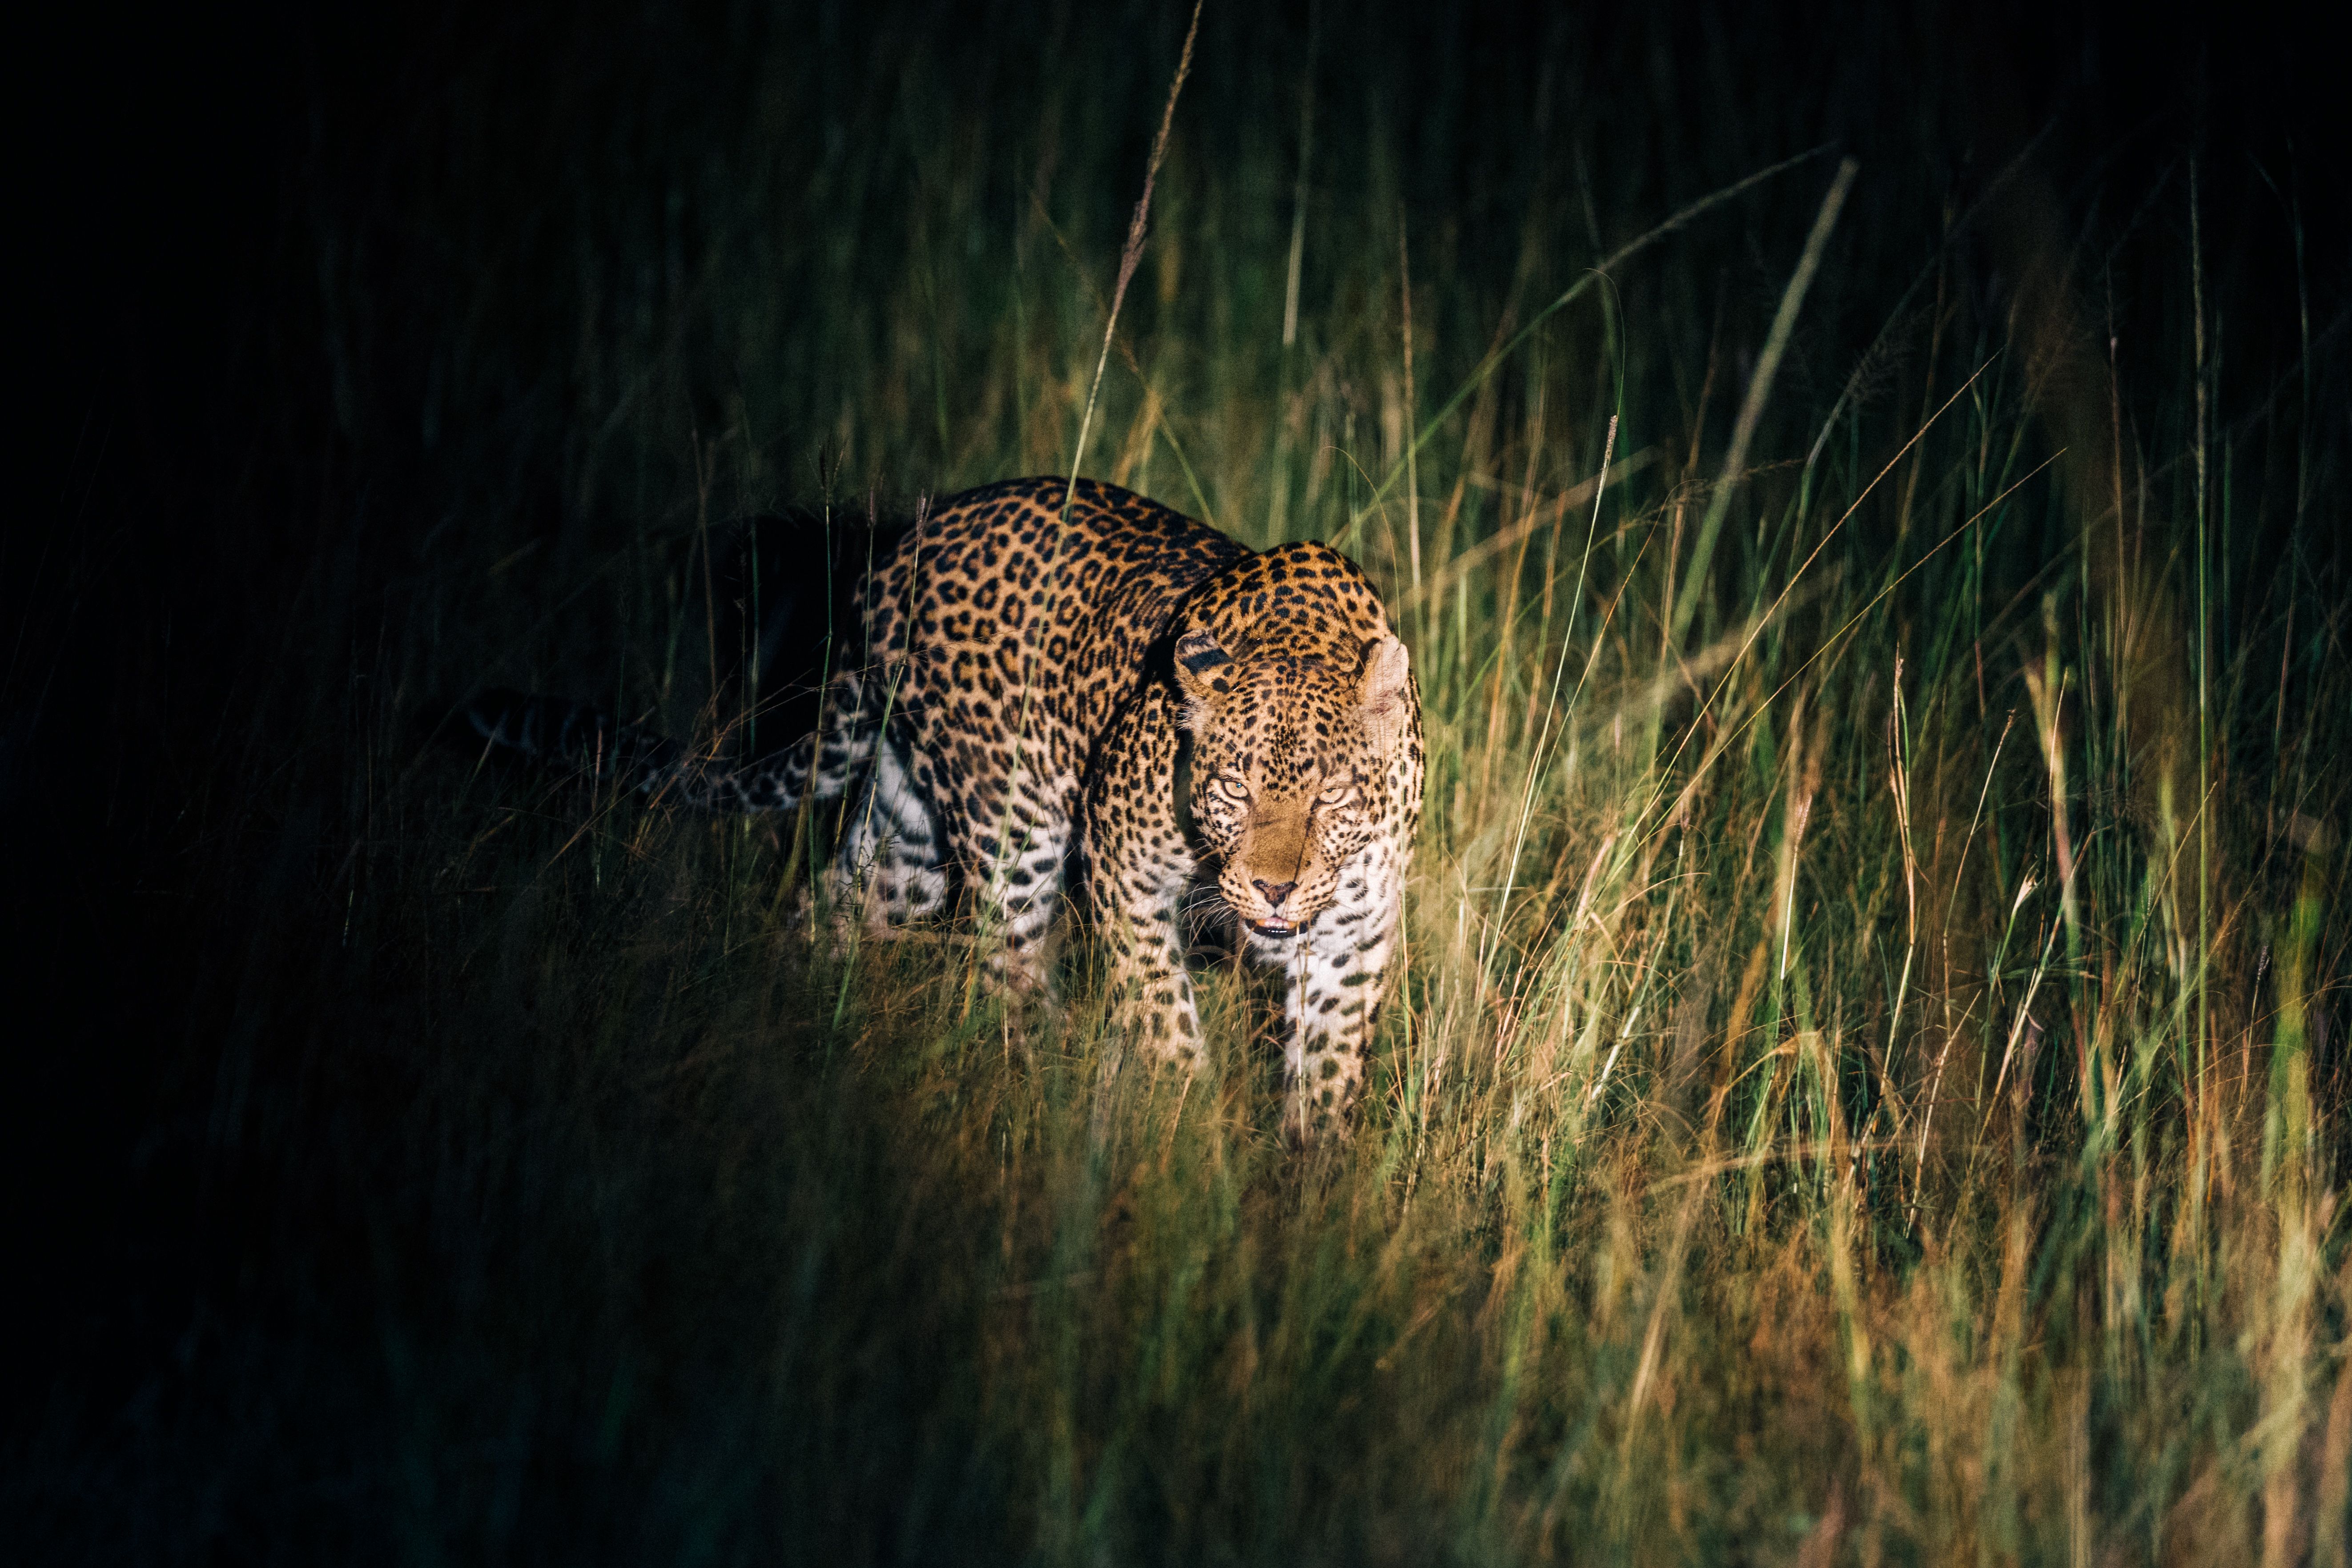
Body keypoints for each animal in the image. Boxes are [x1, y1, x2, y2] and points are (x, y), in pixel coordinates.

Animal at [468, 476, 1424, 1140]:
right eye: (1231, 790)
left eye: (1330, 797)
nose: (1270, 890)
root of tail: (893, 558)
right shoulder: (1123, 869)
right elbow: (1162, 1017)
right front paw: (1189, 1139)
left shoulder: (1356, 930)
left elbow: (1330, 1072)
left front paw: (1306, 1197)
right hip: (1013, 832)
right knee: (1006, 972)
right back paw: (1035, 1099)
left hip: (908, 836)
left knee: (827, 908)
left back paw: (790, 1041)